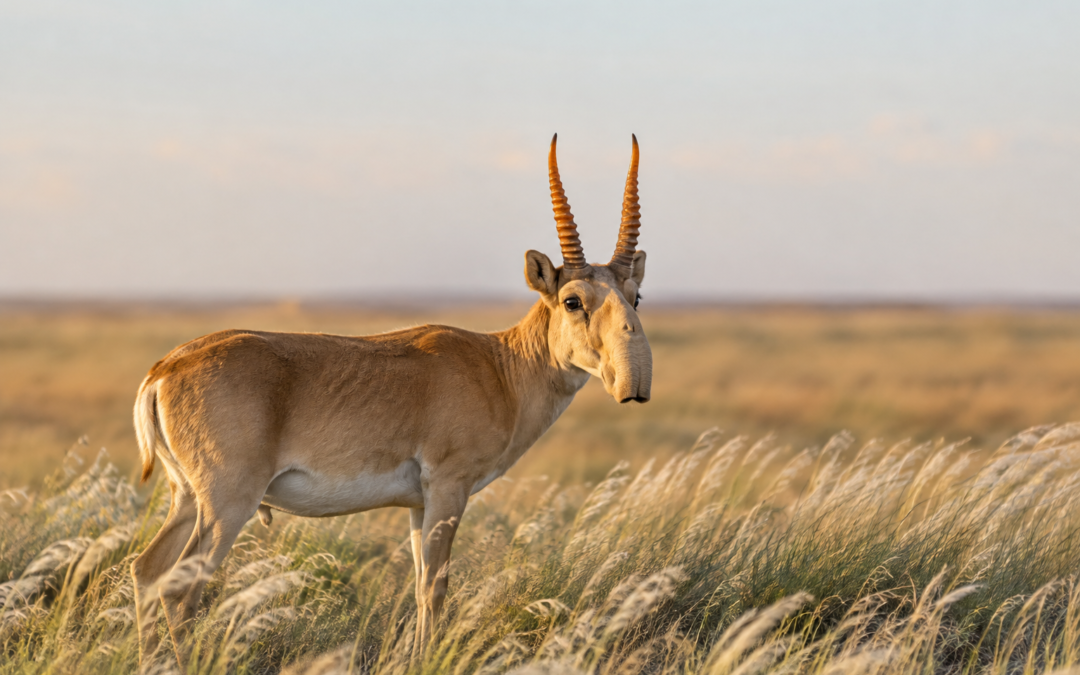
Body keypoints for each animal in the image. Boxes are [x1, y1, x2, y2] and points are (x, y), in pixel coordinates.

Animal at [130, 134, 652, 666]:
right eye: (573, 300)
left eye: (636, 296)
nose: (631, 385)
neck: (500, 366)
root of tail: (166, 368)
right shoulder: (448, 488)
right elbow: (436, 586)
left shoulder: (418, 504)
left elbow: (421, 585)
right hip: (227, 502)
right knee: (180, 589)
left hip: (187, 497)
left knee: (147, 570)